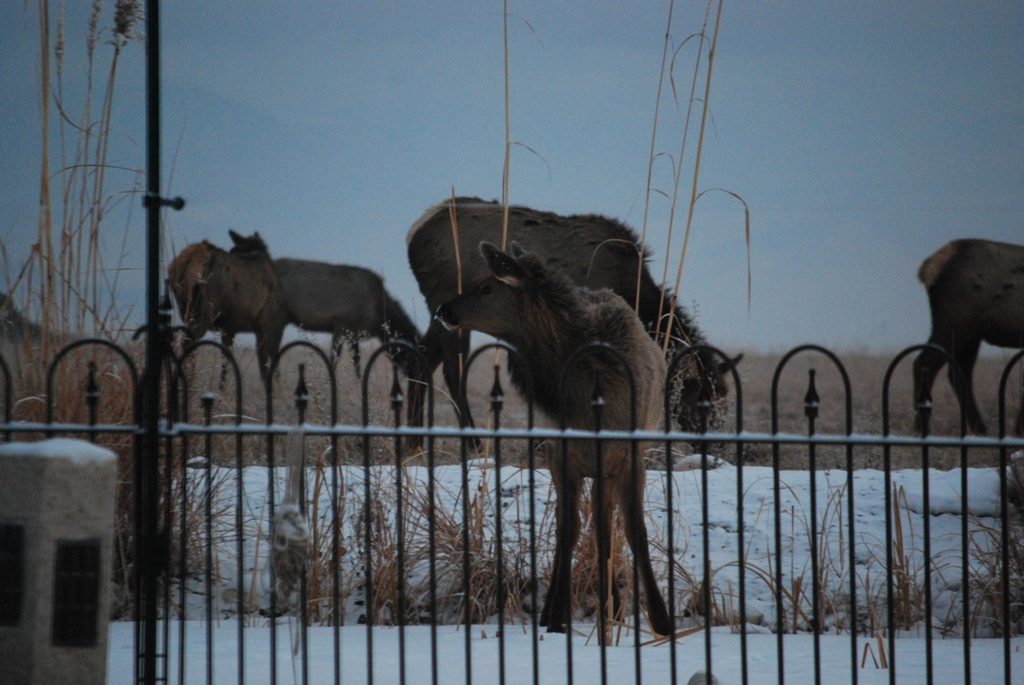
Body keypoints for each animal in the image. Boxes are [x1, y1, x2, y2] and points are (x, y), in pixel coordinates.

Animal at [401, 194, 737, 436]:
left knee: (421, 357)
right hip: (447, 301)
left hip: (440, 311)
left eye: (724, 397)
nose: (716, 445)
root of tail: (413, 233)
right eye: (704, 399)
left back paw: (414, 441)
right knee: (451, 369)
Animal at [436, 239, 675, 634]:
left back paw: (613, 607)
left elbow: (633, 532)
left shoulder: (628, 453)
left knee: (606, 524)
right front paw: (556, 618)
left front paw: (662, 621)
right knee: (580, 526)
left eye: (487, 287)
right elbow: (569, 531)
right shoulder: (563, 455)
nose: (444, 309)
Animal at [913, 237, 1024, 432]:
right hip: (954, 325)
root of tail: (929, 268)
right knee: (924, 363)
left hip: (971, 335)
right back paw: (921, 426)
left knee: (959, 373)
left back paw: (979, 429)